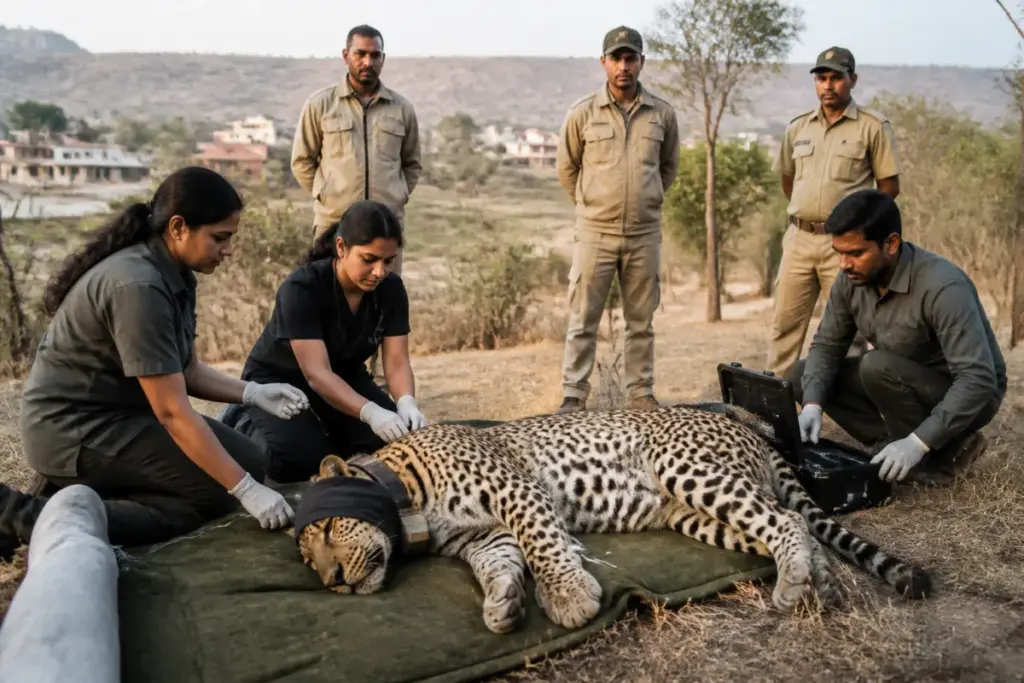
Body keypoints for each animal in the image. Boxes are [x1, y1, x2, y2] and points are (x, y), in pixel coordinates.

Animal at [295, 405, 932, 634]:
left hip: (685, 467)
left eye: (324, 531)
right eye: (308, 558)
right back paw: (819, 584)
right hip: (694, 514)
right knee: (779, 523)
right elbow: (502, 561)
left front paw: (569, 597)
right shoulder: (484, 534)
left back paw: (797, 582)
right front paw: (503, 603)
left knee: (789, 521)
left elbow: (544, 543)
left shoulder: (515, 489)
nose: (335, 581)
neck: (404, 495)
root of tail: (747, 426)